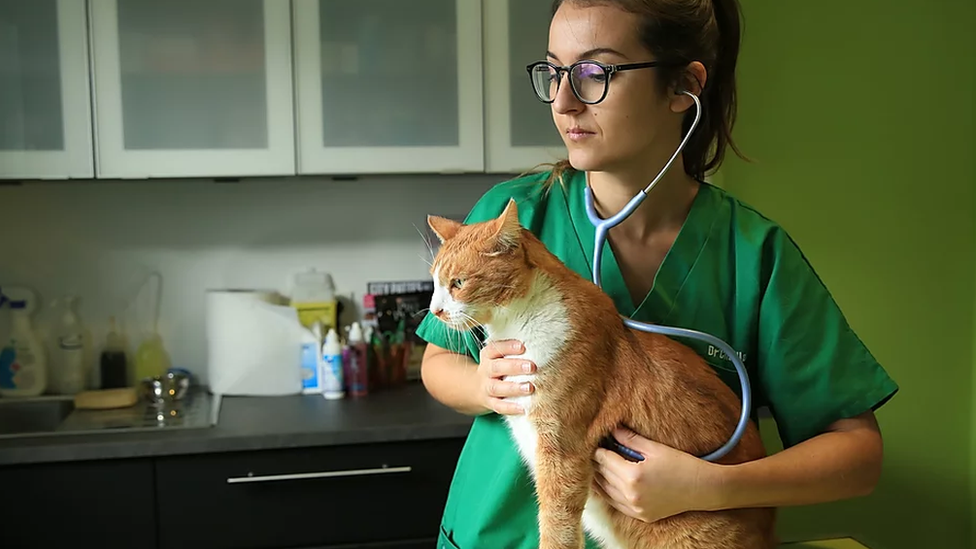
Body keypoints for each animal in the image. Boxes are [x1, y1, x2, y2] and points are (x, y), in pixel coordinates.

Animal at [428, 198, 776, 548]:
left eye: (458, 283)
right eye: (434, 282)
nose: (435, 310)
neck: (520, 322)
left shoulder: (561, 453)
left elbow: (557, 527)